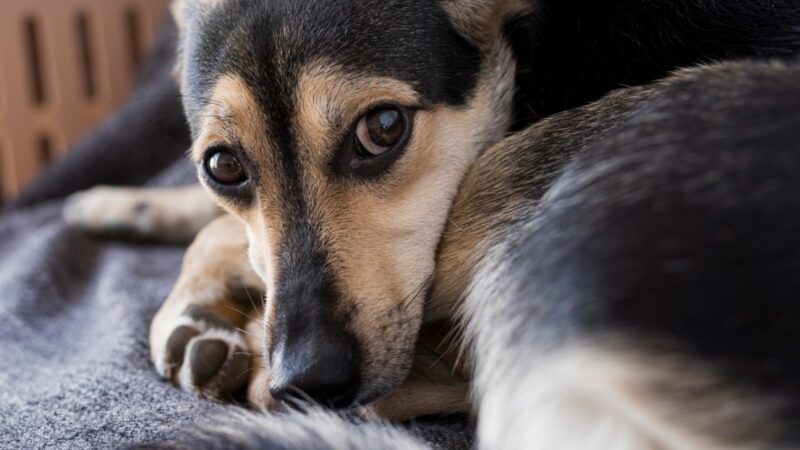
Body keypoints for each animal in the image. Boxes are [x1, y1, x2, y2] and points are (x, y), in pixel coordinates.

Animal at [65, 0, 800, 442]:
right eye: (222, 166)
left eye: (384, 127)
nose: (307, 380)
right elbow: (215, 222)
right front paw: (117, 203)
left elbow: (216, 234)